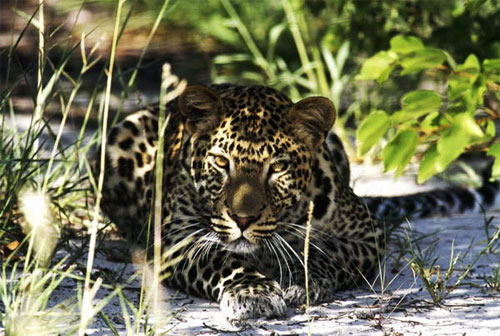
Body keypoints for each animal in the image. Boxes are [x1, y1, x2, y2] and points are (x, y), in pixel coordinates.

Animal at [93, 83, 496, 320]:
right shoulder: (178, 241)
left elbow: (329, 251)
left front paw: (300, 277)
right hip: (122, 134)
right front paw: (252, 291)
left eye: (277, 168)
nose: (242, 219)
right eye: (221, 162)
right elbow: (223, 260)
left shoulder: (367, 235)